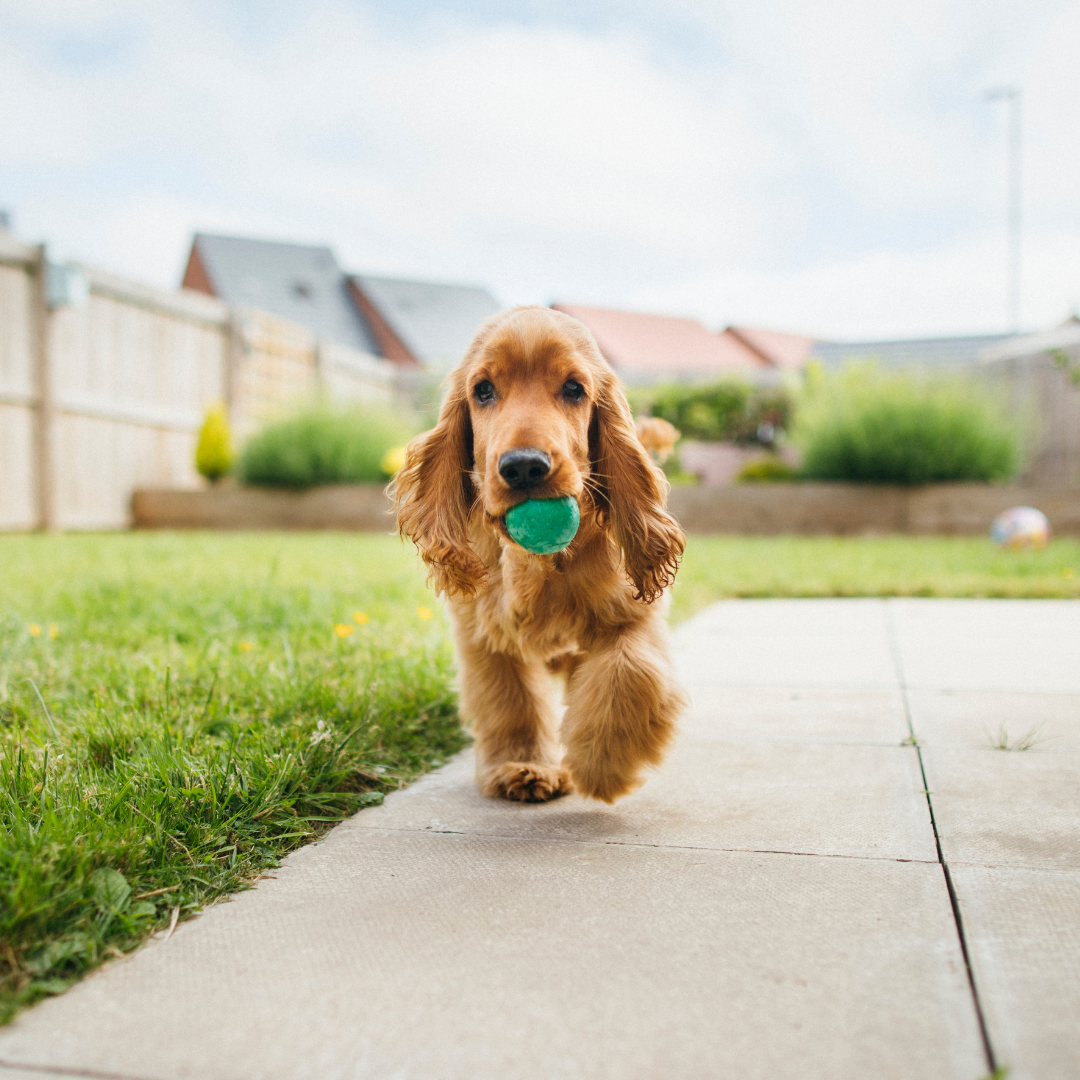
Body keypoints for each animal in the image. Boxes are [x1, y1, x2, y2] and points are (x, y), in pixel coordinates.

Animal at [393, 304, 686, 803]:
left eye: (573, 388)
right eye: (483, 390)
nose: (525, 467)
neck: (538, 563)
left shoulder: (632, 614)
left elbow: (629, 672)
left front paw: (602, 763)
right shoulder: (485, 633)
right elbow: (512, 700)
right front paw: (523, 765)